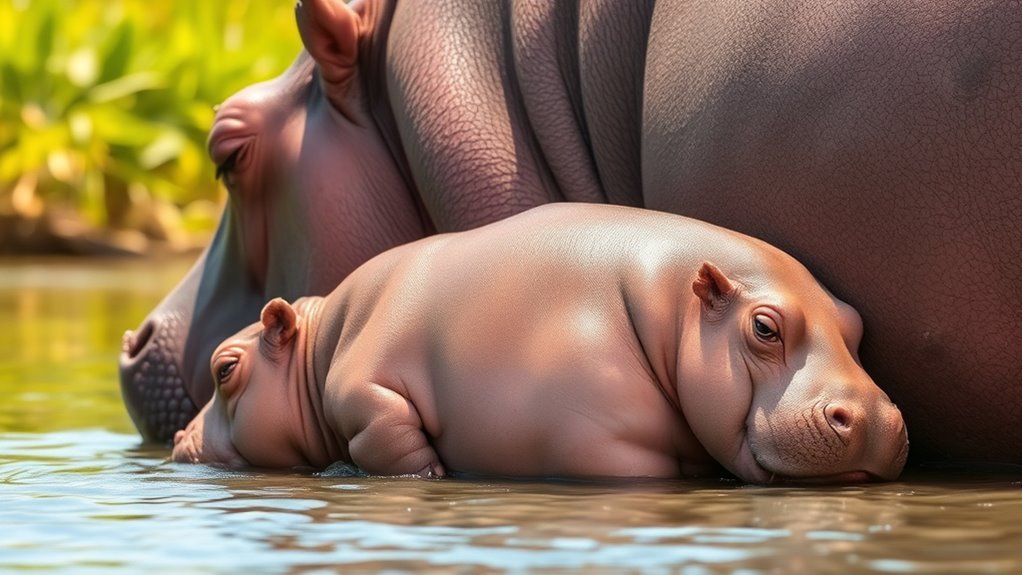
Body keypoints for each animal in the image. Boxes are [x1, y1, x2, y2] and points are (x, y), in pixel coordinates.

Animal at [170, 204, 908, 483]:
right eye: (765, 326)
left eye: (224, 368)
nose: (879, 419)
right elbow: (391, 437)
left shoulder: (363, 389)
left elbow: (383, 434)